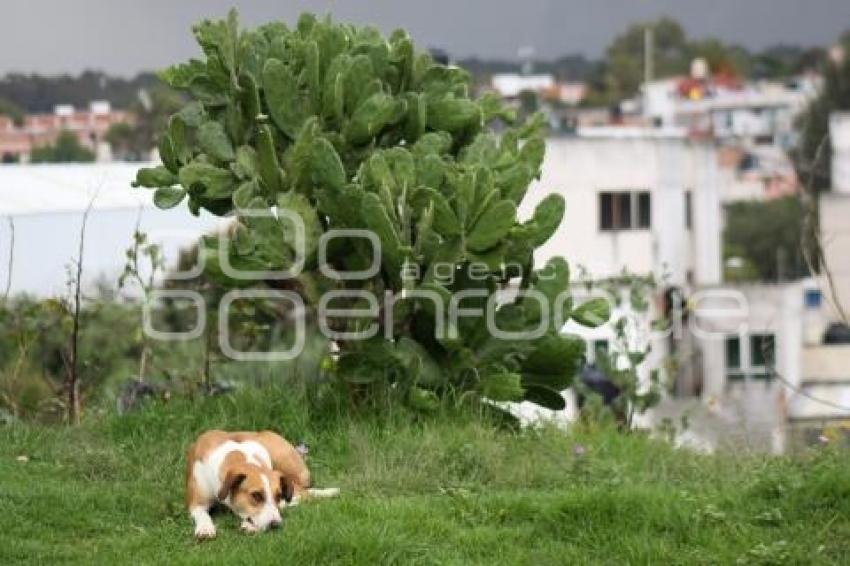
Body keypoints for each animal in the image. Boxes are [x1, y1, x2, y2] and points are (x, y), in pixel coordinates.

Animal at [186, 432, 338, 540]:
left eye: (278, 495)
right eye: (256, 495)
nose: (276, 525)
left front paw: (250, 525)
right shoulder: (196, 503)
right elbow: (202, 514)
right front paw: (205, 528)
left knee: (303, 494)